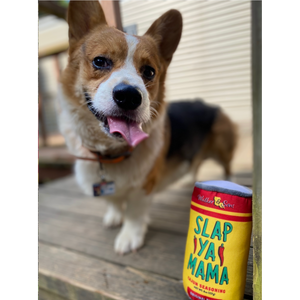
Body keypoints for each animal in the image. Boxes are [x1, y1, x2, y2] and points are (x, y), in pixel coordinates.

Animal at [58, 1, 237, 254]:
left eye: (149, 72)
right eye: (100, 61)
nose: (129, 96)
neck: (112, 153)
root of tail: (210, 105)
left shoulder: (144, 187)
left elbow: (134, 213)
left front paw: (129, 237)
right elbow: (113, 201)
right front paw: (114, 216)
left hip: (223, 151)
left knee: (227, 168)